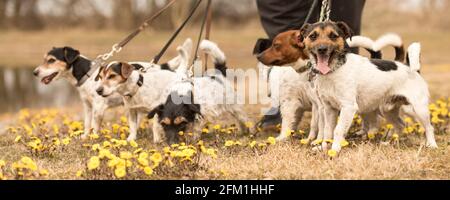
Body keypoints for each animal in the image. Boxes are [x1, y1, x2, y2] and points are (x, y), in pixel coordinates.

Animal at [300, 21, 438, 153]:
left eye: (333, 36)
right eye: (313, 36)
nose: (322, 49)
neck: (334, 71)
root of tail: (409, 66)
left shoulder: (348, 107)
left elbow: (338, 130)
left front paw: (334, 150)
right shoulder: (329, 109)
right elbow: (327, 131)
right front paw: (324, 148)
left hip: (417, 109)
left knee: (429, 127)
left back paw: (432, 145)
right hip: (387, 110)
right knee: (400, 125)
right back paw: (391, 143)